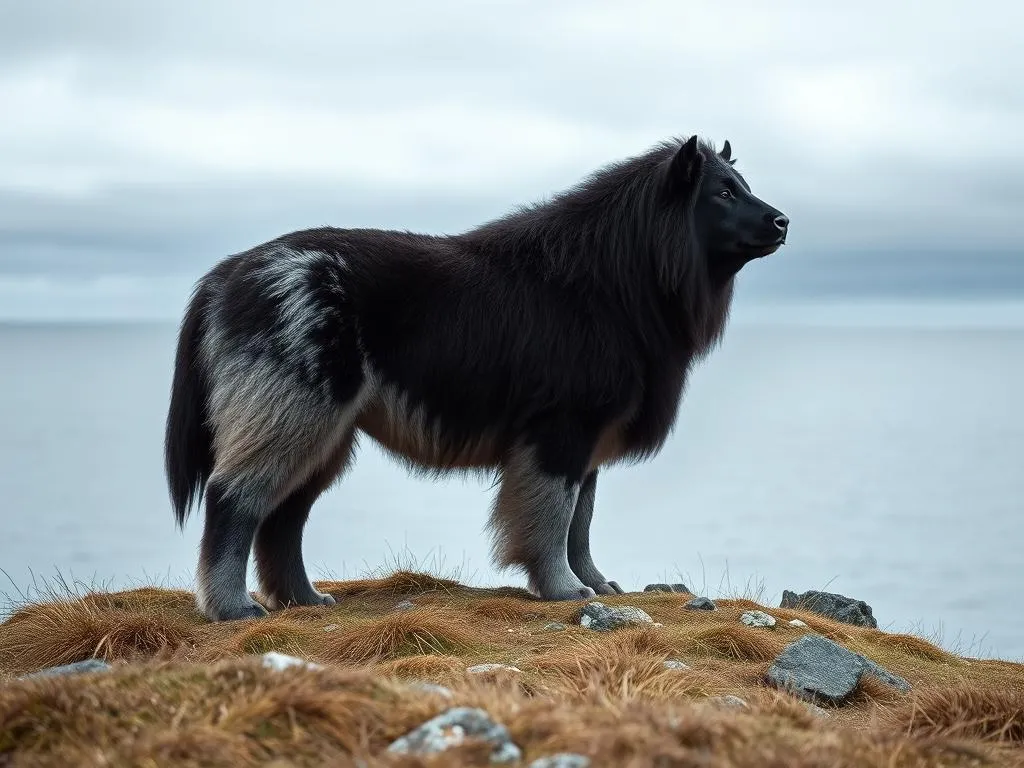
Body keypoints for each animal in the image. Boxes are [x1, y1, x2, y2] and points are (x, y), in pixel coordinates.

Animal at [163, 135, 786, 622]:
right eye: (723, 193)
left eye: (743, 184)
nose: (783, 220)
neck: (614, 280)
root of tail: (227, 274)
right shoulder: (558, 434)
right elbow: (553, 518)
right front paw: (563, 589)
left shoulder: (586, 443)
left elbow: (580, 521)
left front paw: (595, 582)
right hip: (294, 413)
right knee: (234, 500)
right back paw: (231, 607)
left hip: (324, 435)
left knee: (283, 518)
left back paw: (303, 600)